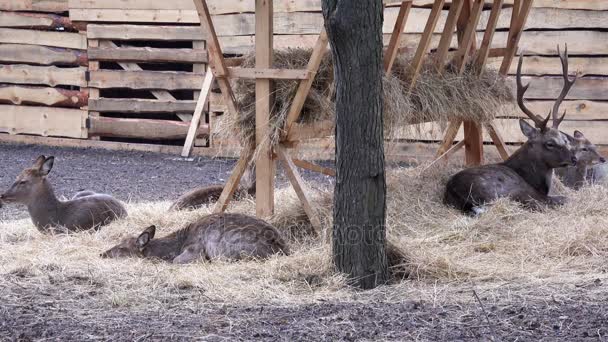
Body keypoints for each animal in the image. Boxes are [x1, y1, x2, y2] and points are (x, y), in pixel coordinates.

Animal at [444, 45, 576, 214]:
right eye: (550, 143)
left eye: (565, 139)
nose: (574, 158)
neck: (533, 180)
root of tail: (453, 191)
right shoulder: (533, 194)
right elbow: (564, 198)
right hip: (508, 192)